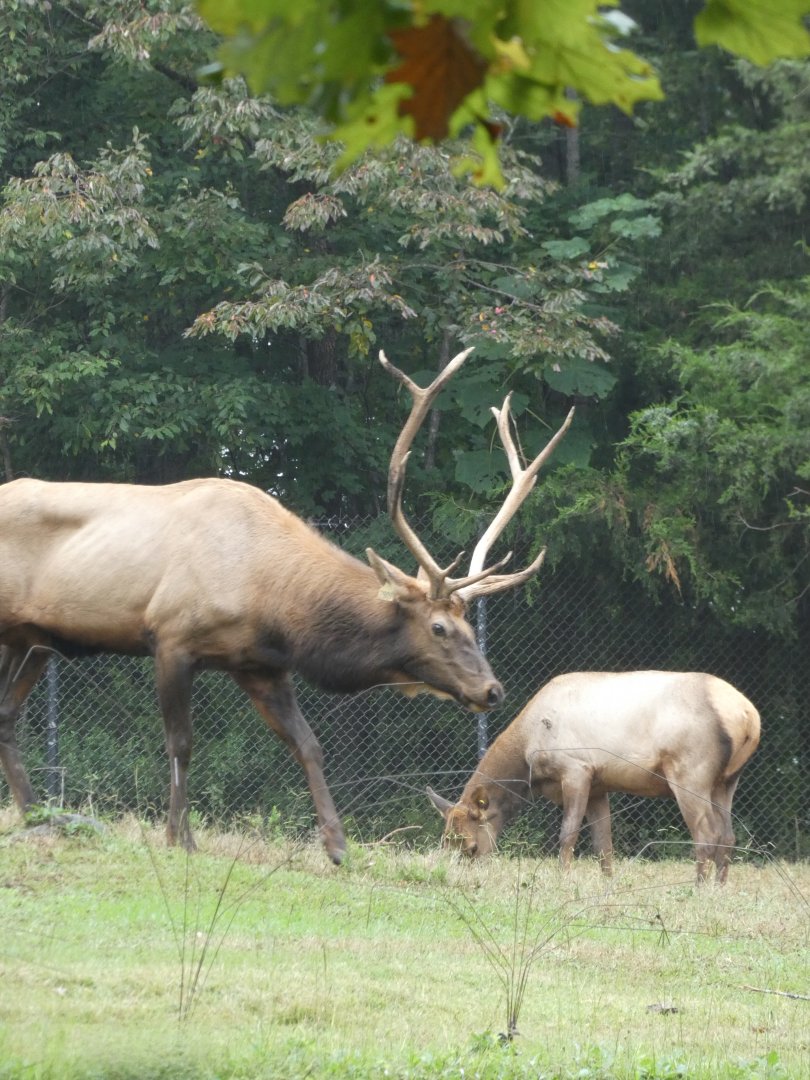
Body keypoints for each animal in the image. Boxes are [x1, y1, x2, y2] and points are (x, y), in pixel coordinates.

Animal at [0, 347, 573, 863]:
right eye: (438, 628)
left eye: (470, 627)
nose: (492, 689)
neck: (272, 599)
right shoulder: (171, 638)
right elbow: (181, 743)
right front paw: (179, 838)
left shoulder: (260, 664)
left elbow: (309, 745)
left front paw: (339, 847)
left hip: (32, 641)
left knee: (7, 713)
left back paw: (38, 818)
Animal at [428, 670, 761, 883]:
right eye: (446, 842)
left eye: (471, 847)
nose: (457, 877)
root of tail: (749, 717)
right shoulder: (600, 786)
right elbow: (604, 844)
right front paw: (607, 884)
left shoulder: (576, 769)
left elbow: (568, 834)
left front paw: (563, 880)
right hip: (727, 781)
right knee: (728, 835)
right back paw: (719, 887)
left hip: (689, 772)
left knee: (707, 834)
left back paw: (699, 887)